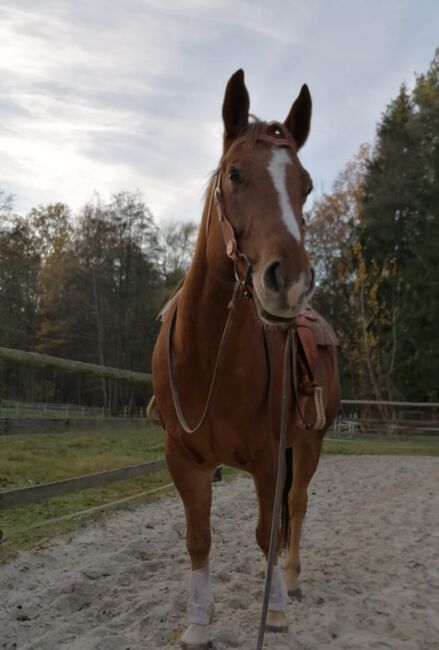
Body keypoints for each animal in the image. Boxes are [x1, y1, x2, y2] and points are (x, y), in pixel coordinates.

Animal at [153, 68, 342, 644]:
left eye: (305, 186)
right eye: (235, 174)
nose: (291, 281)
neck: (207, 357)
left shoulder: (267, 459)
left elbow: (266, 534)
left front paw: (274, 611)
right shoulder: (184, 459)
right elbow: (198, 538)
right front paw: (197, 625)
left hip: (309, 443)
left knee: (296, 509)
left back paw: (293, 581)